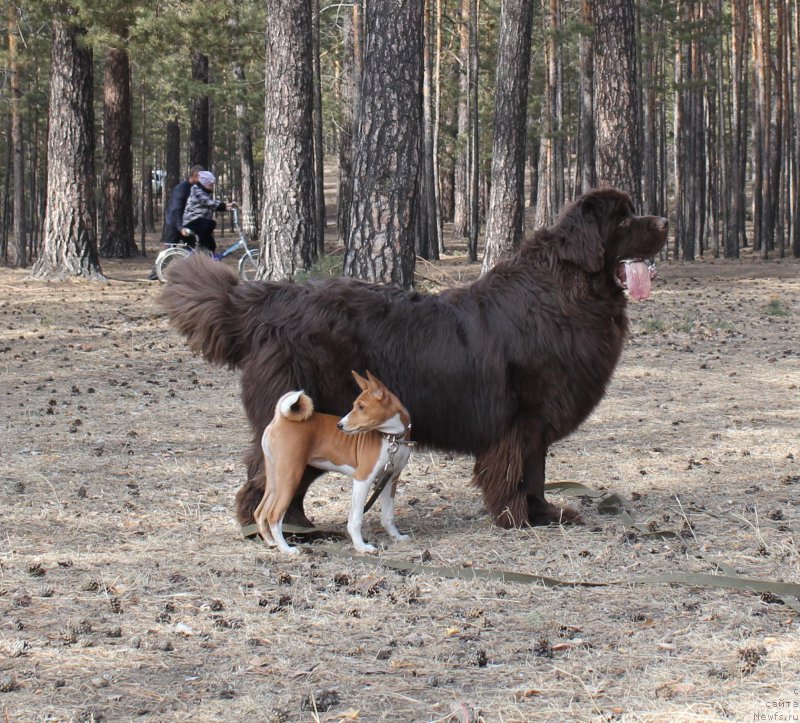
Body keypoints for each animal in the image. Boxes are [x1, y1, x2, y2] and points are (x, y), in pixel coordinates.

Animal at [159, 189, 664, 532]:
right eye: (623, 221)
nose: (662, 220)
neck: (566, 294)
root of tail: (269, 302)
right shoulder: (520, 419)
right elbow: (517, 471)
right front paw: (514, 518)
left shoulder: (536, 423)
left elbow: (537, 472)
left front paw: (544, 514)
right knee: (268, 476)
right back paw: (277, 526)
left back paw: (297, 525)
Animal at [256, 374, 412, 556]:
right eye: (356, 405)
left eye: (361, 406)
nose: (340, 425)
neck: (392, 439)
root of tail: (279, 419)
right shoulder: (363, 478)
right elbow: (356, 519)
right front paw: (361, 546)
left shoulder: (391, 478)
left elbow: (387, 515)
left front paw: (396, 537)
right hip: (290, 475)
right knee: (273, 515)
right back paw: (286, 549)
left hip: (275, 478)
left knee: (260, 512)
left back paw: (271, 542)